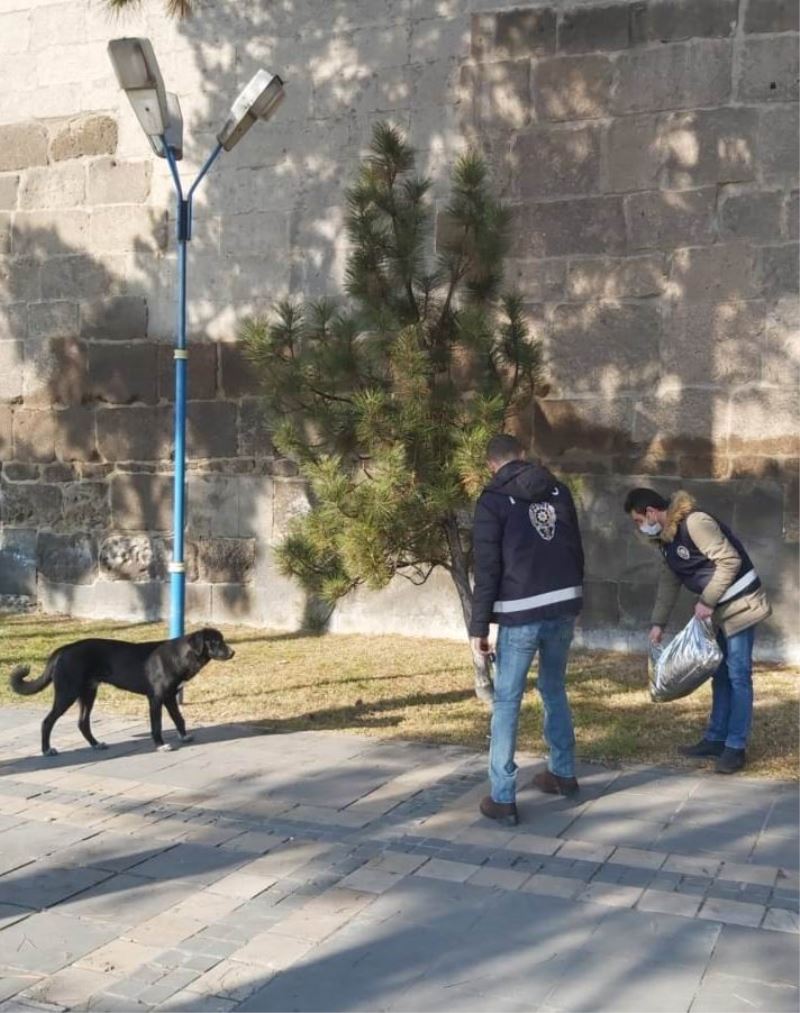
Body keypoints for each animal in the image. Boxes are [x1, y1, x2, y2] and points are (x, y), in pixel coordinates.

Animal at [9, 628, 234, 757]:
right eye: (215, 642)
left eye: (223, 640)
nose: (233, 652)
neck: (180, 655)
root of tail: (65, 649)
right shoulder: (156, 698)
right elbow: (157, 726)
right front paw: (160, 746)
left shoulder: (170, 697)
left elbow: (179, 719)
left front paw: (184, 736)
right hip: (68, 692)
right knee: (47, 722)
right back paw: (46, 750)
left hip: (88, 693)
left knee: (83, 723)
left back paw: (96, 744)